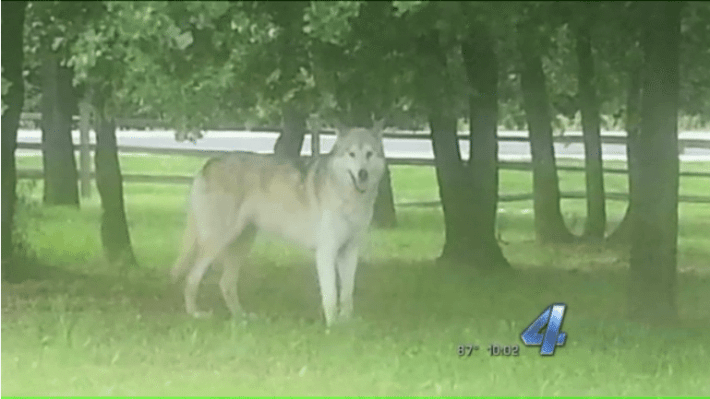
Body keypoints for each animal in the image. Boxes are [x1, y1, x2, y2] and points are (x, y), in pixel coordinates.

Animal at [170, 122, 386, 328]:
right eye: (352, 154)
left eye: (369, 154)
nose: (363, 173)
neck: (349, 196)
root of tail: (210, 163)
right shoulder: (326, 252)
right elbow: (331, 295)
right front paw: (333, 327)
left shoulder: (349, 252)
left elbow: (347, 295)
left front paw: (347, 324)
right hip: (218, 242)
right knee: (192, 278)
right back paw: (195, 314)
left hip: (242, 244)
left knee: (226, 283)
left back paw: (242, 318)